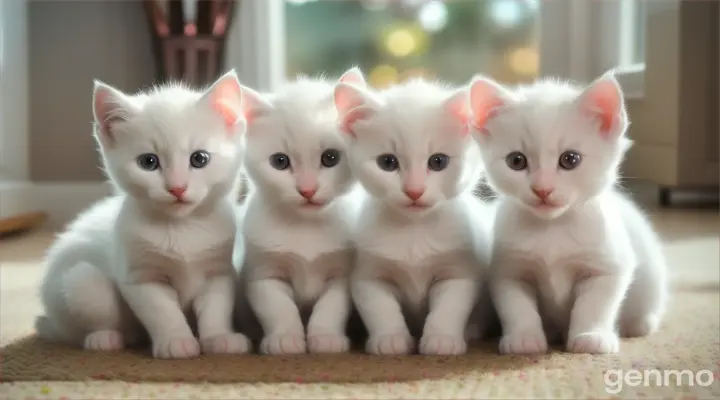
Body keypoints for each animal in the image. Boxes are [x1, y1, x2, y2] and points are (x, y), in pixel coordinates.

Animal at [35, 72, 253, 360]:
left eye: (199, 158)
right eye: (148, 162)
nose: (177, 187)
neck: (183, 229)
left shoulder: (218, 270)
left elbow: (216, 307)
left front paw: (219, 338)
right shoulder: (140, 276)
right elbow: (162, 311)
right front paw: (176, 341)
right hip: (81, 283)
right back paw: (105, 338)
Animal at [236, 68, 366, 354]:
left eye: (330, 157)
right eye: (279, 161)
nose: (307, 190)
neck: (307, 227)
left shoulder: (344, 273)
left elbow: (332, 306)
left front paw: (326, 337)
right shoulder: (262, 272)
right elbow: (277, 307)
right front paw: (285, 337)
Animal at [334, 78, 492, 356]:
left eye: (438, 161)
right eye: (388, 162)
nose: (414, 190)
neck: (414, 231)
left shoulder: (460, 271)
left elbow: (450, 307)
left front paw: (441, 339)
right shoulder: (368, 273)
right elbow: (379, 307)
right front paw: (390, 338)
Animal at [470, 71, 668, 354]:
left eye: (570, 159)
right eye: (516, 161)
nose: (542, 189)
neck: (552, 228)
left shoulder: (607, 267)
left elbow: (595, 305)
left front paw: (591, 336)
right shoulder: (507, 270)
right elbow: (515, 306)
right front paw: (523, 338)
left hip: (652, 276)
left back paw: (638, 323)